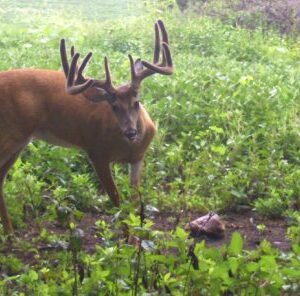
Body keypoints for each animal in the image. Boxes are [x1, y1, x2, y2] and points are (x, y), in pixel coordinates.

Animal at [0, 19, 173, 235]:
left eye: (137, 102)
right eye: (113, 106)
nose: (131, 132)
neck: (126, 146)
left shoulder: (138, 158)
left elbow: (134, 200)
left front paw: (135, 237)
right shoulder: (96, 153)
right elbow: (117, 201)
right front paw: (126, 239)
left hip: (20, 141)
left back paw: (11, 234)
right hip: (11, 133)